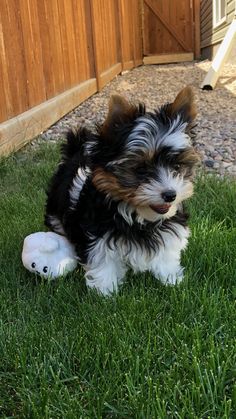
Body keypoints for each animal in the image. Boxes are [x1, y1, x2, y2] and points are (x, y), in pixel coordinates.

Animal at [44, 86, 199, 296]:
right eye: (141, 170)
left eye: (176, 167)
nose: (170, 195)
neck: (139, 219)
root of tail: (74, 152)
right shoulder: (99, 234)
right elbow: (103, 260)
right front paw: (105, 291)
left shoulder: (170, 226)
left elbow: (167, 252)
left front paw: (170, 279)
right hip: (55, 209)